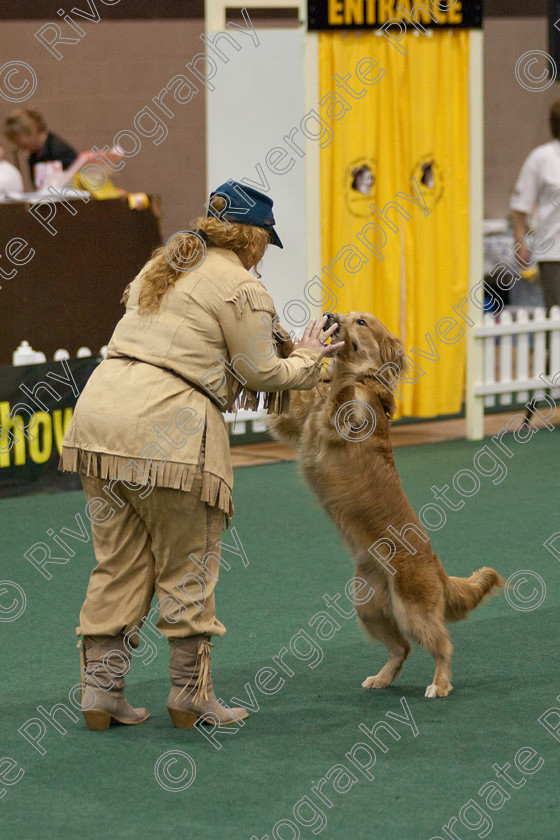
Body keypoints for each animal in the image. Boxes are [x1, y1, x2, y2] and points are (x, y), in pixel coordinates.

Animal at [270, 312, 506, 700]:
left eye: (361, 321)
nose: (331, 316)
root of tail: (437, 566)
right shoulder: (296, 421)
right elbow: (298, 397)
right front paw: (290, 343)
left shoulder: (342, 417)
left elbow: (343, 389)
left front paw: (339, 367)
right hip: (368, 606)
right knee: (401, 648)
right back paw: (381, 678)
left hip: (412, 609)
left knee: (442, 645)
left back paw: (440, 684)